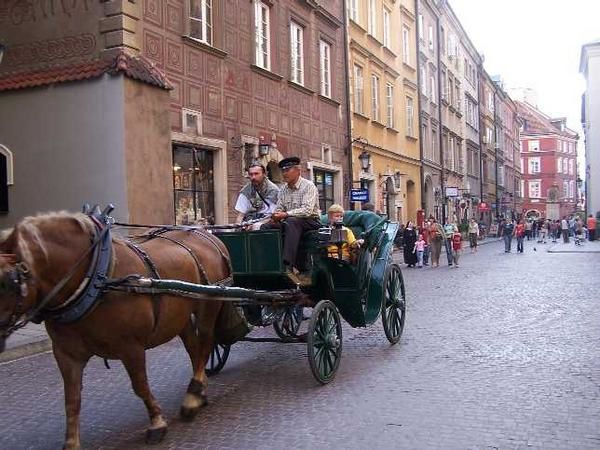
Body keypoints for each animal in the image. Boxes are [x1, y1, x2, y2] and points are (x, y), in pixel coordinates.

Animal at [0, 213, 230, 450]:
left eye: (6, 282)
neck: (96, 279)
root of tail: (208, 236)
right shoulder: (66, 354)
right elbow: (71, 399)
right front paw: (71, 442)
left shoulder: (131, 347)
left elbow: (140, 386)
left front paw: (157, 423)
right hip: (180, 316)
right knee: (194, 348)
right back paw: (199, 391)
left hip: (207, 306)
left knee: (205, 344)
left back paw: (192, 397)